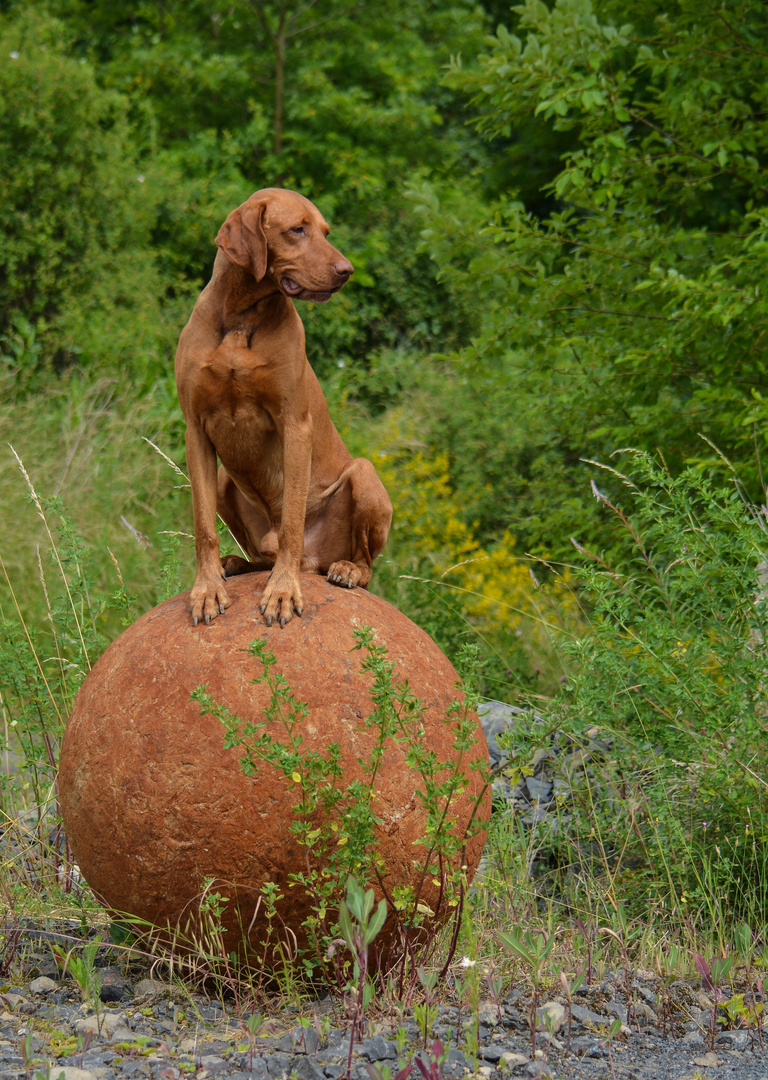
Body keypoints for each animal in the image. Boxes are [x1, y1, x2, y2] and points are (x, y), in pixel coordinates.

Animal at [171, 184, 393, 626]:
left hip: (363, 474)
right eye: (297, 229)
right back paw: (236, 563)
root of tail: (314, 562)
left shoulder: (294, 424)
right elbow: (203, 526)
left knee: (363, 563)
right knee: (261, 556)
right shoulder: (196, 431)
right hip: (225, 481)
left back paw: (345, 569)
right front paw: (207, 589)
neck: (240, 319)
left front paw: (282, 592)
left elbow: (291, 520)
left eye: (326, 231)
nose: (347, 270)